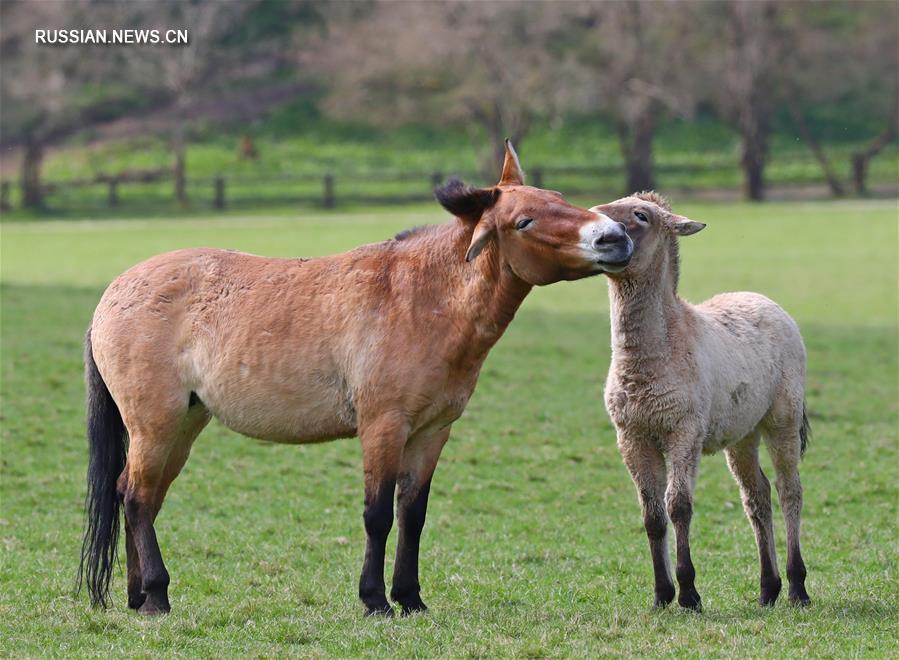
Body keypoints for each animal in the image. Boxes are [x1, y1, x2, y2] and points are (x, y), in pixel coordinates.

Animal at [81, 142, 636, 616]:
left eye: (560, 198)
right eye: (525, 220)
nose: (615, 237)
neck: (421, 299)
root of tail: (113, 295)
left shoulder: (431, 433)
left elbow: (413, 515)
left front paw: (410, 598)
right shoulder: (382, 427)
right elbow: (378, 515)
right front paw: (375, 600)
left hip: (183, 426)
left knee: (137, 496)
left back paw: (137, 597)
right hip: (156, 424)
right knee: (136, 498)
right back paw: (155, 595)